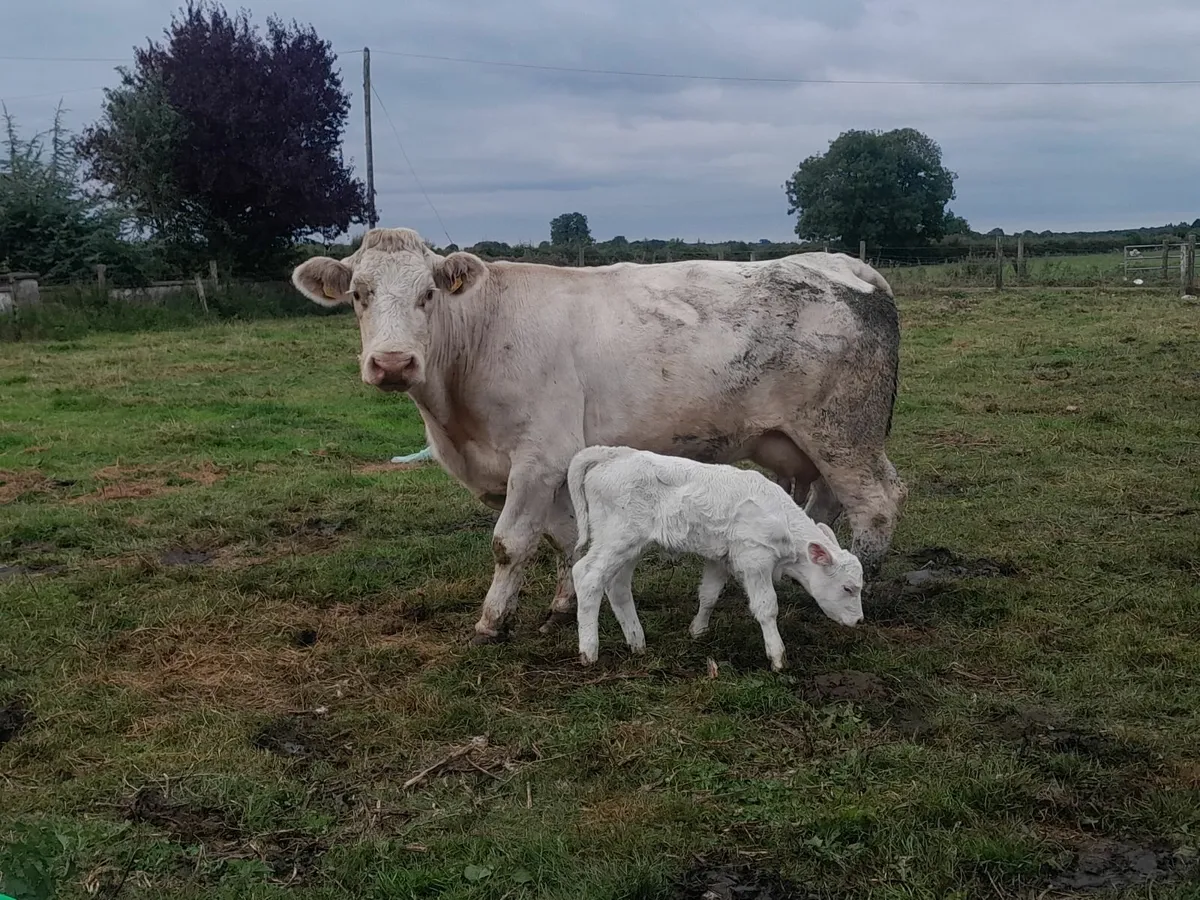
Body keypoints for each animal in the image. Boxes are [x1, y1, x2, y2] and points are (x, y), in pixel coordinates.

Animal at [290, 227, 906, 645]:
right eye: (359, 294)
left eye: (429, 295)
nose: (393, 363)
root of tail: (839, 262)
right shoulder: (553, 464)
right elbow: (568, 539)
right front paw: (563, 604)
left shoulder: (538, 456)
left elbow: (510, 542)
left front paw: (492, 621)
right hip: (801, 441)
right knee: (824, 501)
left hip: (844, 431)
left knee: (876, 501)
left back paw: (858, 581)